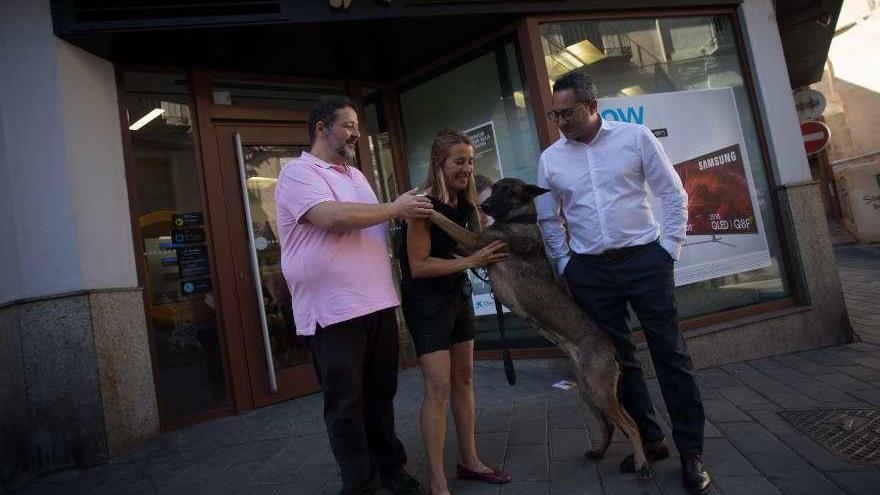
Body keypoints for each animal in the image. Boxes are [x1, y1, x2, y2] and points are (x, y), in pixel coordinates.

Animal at [430, 177, 648, 480]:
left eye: (508, 191)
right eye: (493, 189)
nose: (484, 206)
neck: (520, 219)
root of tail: (610, 346)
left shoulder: (477, 243)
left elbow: (446, 222)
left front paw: (422, 208)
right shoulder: (472, 247)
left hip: (601, 392)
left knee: (631, 425)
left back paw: (641, 465)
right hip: (587, 390)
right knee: (609, 425)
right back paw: (599, 452)